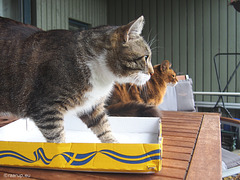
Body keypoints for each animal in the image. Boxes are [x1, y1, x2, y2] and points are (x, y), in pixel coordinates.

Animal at [0, 16, 153, 143]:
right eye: (145, 57)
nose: (152, 73)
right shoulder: (46, 108)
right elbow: (57, 139)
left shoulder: (93, 106)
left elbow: (105, 130)